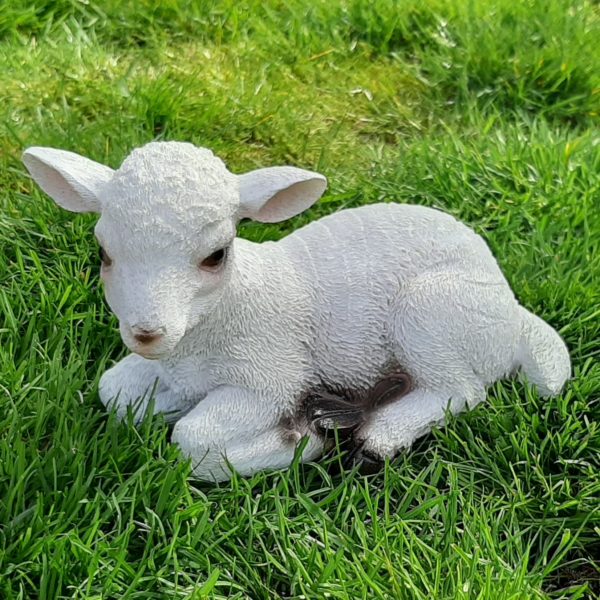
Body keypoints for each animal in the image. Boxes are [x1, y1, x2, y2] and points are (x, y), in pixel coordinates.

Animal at [21, 142, 568, 482]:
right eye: (103, 253)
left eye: (216, 255)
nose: (146, 333)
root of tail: (511, 307)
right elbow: (113, 391)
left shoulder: (269, 378)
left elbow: (192, 438)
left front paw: (297, 442)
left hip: (433, 312)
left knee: (461, 390)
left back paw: (376, 436)